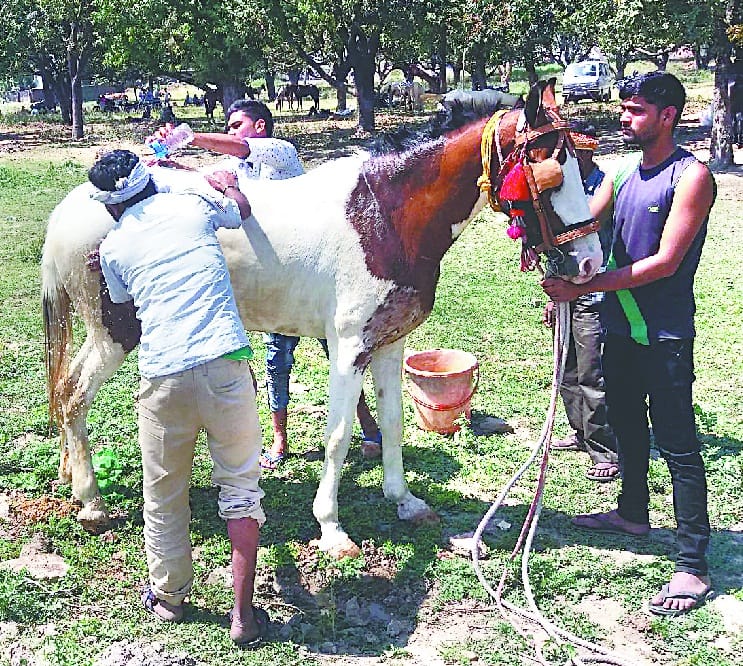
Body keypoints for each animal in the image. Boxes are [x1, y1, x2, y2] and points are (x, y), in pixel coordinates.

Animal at [42, 79, 603, 558]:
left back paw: (75, 483)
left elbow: (393, 422)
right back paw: (91, 503)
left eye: (583, 163)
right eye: (550, 168)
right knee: (73, 396)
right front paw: (331, 528)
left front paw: (404, 500)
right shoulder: (350, 349)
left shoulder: (389, 344)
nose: (590, 263)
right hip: (115, 335)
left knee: (68, 393)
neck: (384, 214)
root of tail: (72, 208)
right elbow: (338, 435)